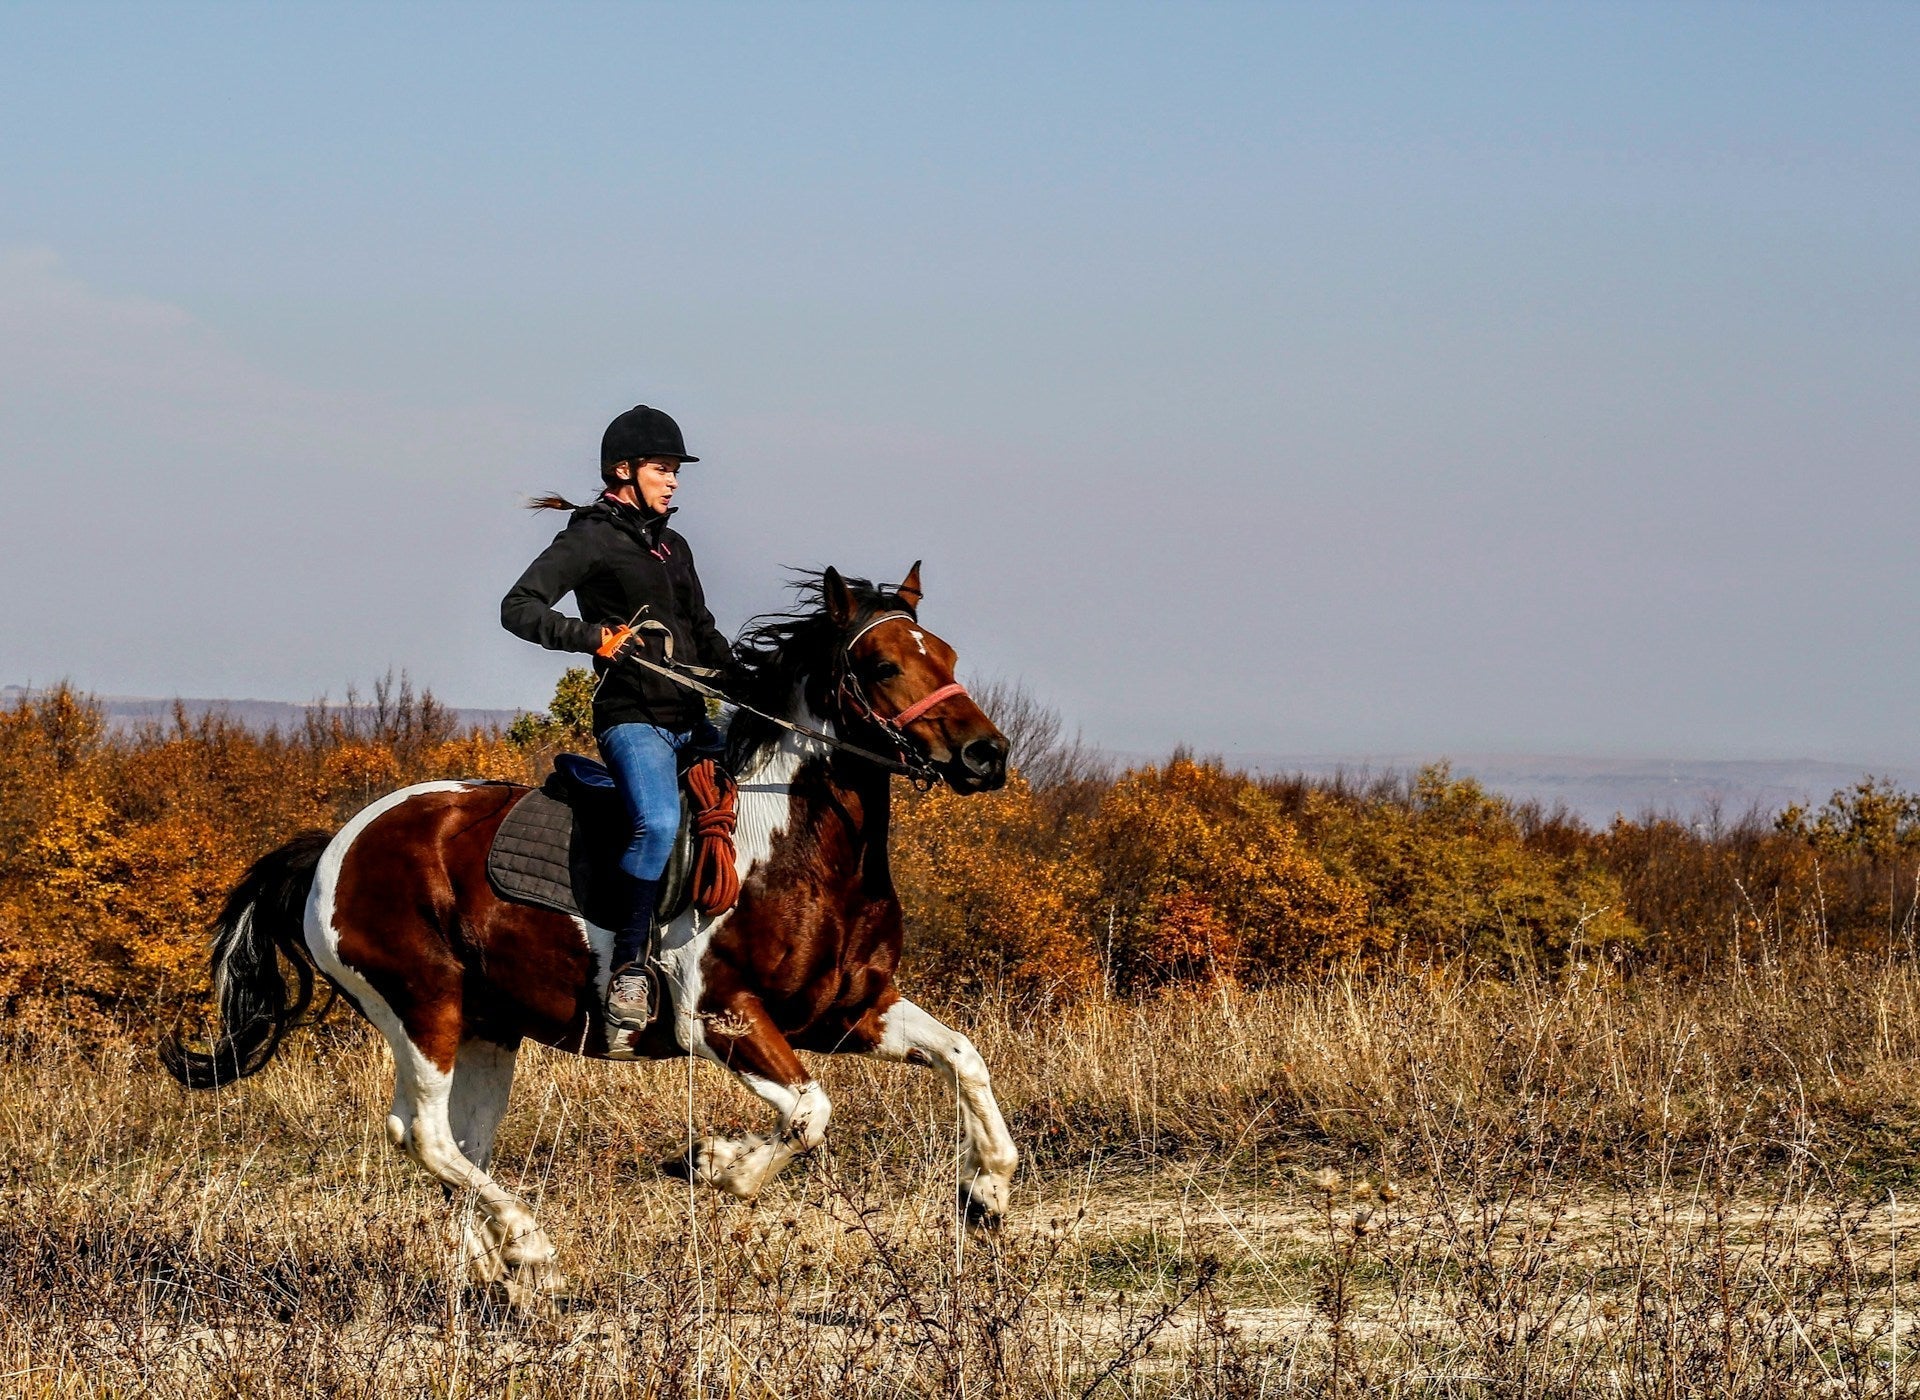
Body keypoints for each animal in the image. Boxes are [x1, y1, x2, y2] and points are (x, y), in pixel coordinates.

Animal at [161, 563, 1018, 1302]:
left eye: (945, 654)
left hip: (488, 1028)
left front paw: (987, 1192)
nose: (988, 754)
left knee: (461, 1144)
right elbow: (810, 1113)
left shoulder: (850, 1011)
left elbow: (965, 1059)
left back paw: (499, 1271)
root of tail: (336, 845)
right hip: (421, 1006)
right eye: (881, 664)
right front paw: (715, 1163)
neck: (791, 843)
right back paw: (529, 1246)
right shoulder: (721, 1018)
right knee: (423, 1133)